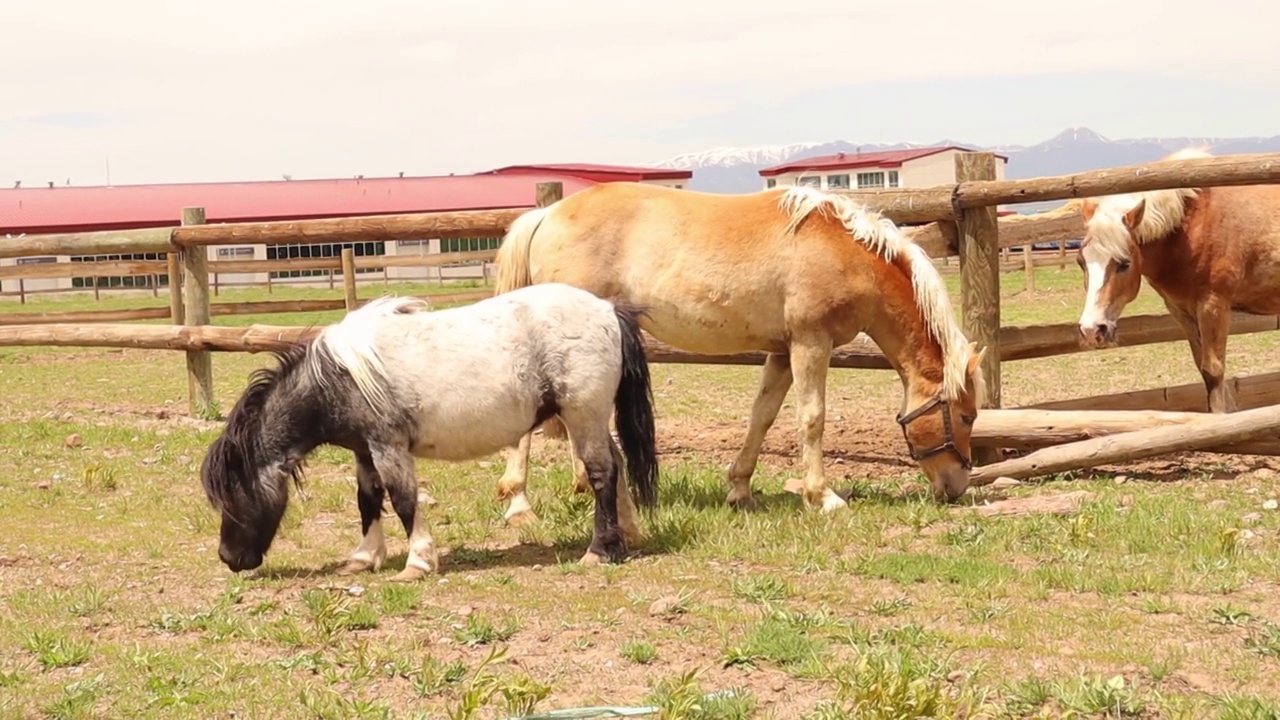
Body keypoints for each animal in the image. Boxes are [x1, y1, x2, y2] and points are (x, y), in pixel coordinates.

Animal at [202, 283, 660, 579]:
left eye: (232, 497)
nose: (227, 557)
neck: (340, 378)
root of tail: (607, 310)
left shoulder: (388, 447)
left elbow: (404, 500)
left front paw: (417, 562)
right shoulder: (364, 451)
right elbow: (368, 501)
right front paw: (364, 558)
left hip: (582, 415)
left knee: (601, 473)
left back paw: (599, 550)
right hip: (589, 419)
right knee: (615, 466)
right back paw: (627, 536)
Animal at [483, 178, 983, 515]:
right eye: (966, 416)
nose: (957, 486)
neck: (844, 251)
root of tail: (545, 215)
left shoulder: (782, 352)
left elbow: (762, 416)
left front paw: (739, 488)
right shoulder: (811, 343)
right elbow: (812, 419)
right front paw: (822, 496)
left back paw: (582, 486)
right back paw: (519, 499)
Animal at [1075, 148, 1280, 412]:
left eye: (1124, 264)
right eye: (1081, 262)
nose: (1091, 330)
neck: (1191, 227)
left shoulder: (1213, 306)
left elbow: (1214, 371)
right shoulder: (1181, 311)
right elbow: (1203, 369)